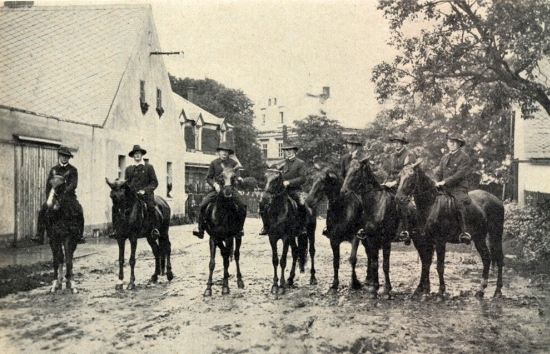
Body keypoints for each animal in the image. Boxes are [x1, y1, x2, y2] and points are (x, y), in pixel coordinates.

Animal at [203, 165, 246, 296]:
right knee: (225, 254)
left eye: (233, 177)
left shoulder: (228, 237)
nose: (227, 192)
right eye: (221, 177)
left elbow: (227, 259)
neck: (220, 213)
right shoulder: (213, 238)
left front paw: (225, 286)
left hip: (238, 236)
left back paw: (239, 280)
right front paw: (208, 288)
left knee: (236, 255)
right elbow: (212, 262)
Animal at [306, 163, 366, 294]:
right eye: (313, 180)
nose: (308, 201)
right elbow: (336, 261)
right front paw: (334, 284)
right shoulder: (334, 240)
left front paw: (355, 282)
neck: (341, 210)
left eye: (323, 182)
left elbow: (353, 259)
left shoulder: (355, 238)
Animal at [342, 158, 404, 298]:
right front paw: (374, 288)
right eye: (347, 169)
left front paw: (387, 289)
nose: (343, 191)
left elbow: (385, 265)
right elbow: (375, 262)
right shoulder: (370, 238)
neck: (376, 205)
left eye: (357, 171)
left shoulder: (386, 240)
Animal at [394, 162, 506, 300]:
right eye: (399, 176)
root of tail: (497, 200)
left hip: (496, 234)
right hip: (479, 237)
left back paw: (498, 290)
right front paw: (425, 291)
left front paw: (440, 293)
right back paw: (481, 291)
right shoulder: (427, 241)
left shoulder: (440, 241)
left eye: (411, 176)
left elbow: (439, 266)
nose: (398, 198)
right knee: (486, 258)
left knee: (499, 259)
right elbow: (426, 263)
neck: (431, 205)